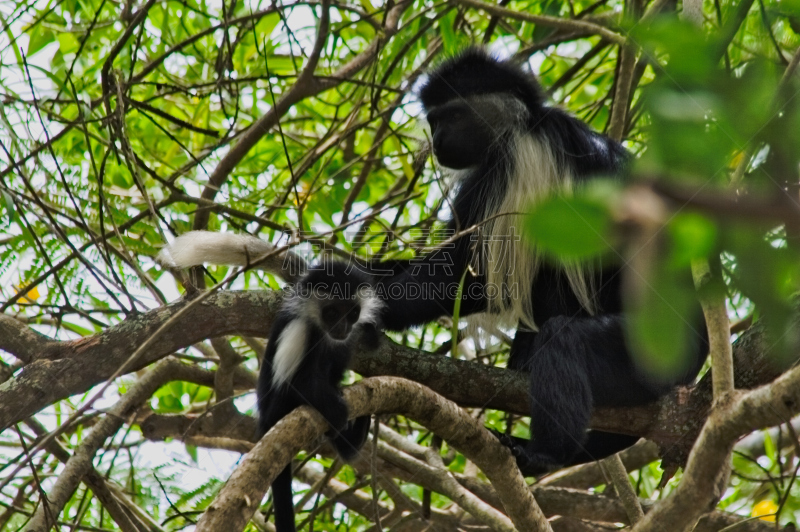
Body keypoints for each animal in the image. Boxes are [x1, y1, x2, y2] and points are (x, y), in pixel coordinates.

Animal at [258, 262, 380, 532]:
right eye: (332, 312)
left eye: (352, 313)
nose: (343, 327)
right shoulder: (299, 330)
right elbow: (296, 385)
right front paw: (337, 409)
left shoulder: (345, 343)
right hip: (273, 414)